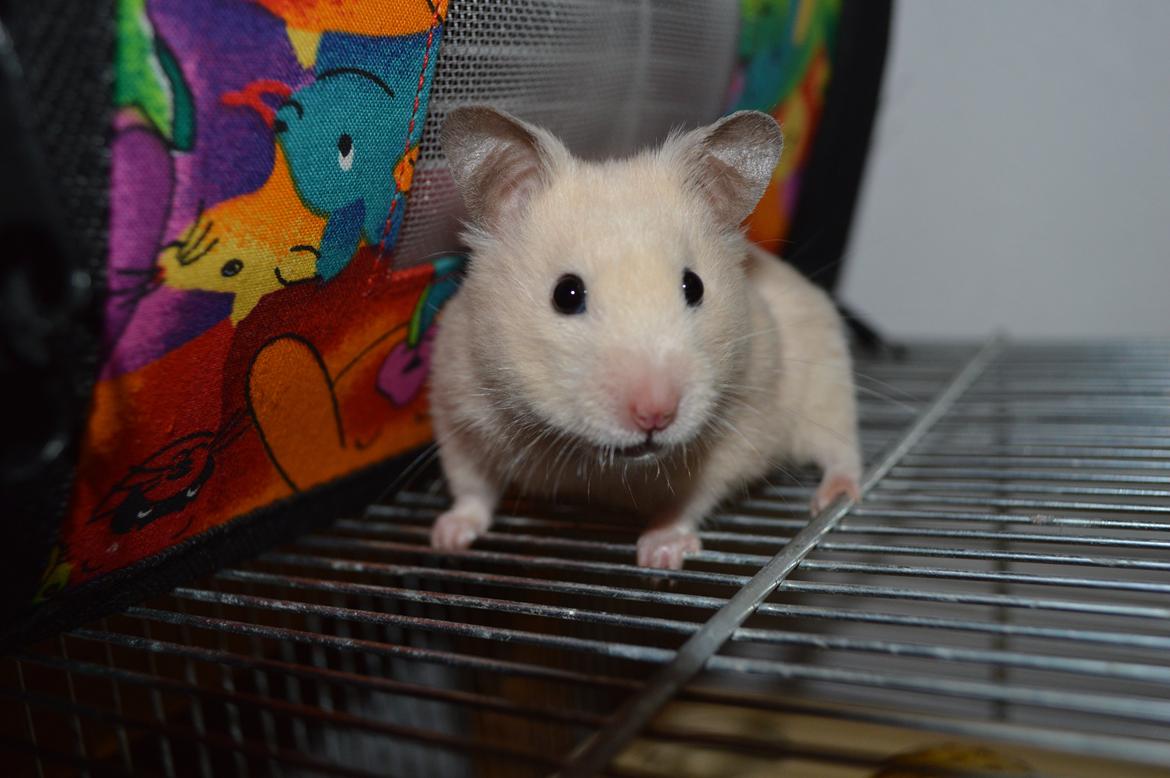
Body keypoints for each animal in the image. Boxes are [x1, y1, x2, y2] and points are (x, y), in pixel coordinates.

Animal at [427, 106, 861, 570]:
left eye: (694, 286)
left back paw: (836, 495)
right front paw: (446, 538)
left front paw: (659, 555)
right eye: (566, 294)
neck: (599, 462)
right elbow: (471, 487)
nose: (656, 414)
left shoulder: (737, 427)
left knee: (842, 448)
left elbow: (690, 501)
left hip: (827, 380)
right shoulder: (456, 406)